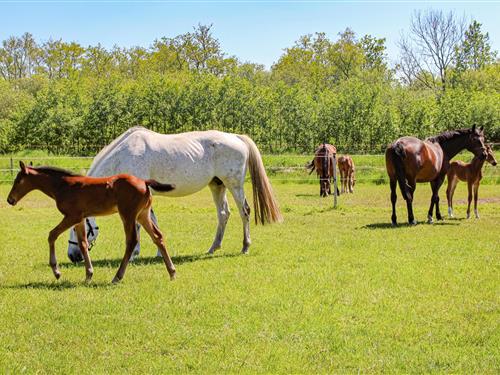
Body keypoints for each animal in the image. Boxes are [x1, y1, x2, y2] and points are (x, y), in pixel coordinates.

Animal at [6, 162, 177, 284]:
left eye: (18, 180)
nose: (9, 199)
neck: (62, 185)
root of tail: (144, 181)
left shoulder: (72, 216)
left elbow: (52, 235)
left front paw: (57, 271)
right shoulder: (80, 219)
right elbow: (82, 243)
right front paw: (88, 274)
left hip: (128, 215)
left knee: (132, 241)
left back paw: (117, 277)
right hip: (143, 215)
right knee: (158, 236)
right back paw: (172, 272)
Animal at [67, 126, 282, 262]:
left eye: (78, 229)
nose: (73, 256)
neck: (125, 156)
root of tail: (236, 137)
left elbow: (138, 225)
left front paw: (135, 253)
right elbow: (151, 222)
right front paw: (157, 252)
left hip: (234, 184)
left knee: (244, 212)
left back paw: (245, 246)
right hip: (217, 185)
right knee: (223, 214)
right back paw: (213, 247)